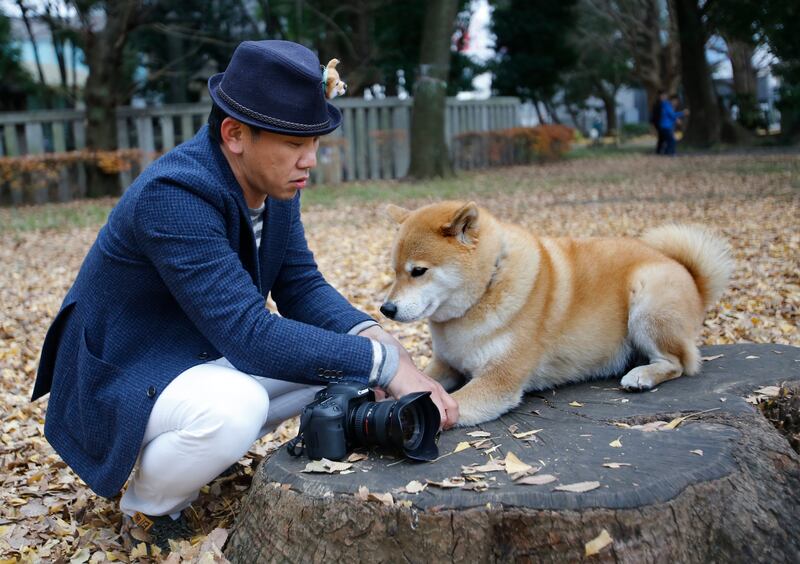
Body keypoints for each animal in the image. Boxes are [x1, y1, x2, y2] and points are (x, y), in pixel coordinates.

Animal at [380, 200, 732, 426]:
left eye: (418, 271)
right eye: (394, 271)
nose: (386, 308)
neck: (487, 288)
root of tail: (692, 278)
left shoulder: (499, 380)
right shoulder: (446, 364)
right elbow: (420, 376)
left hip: (647, 301)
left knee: (678, 363)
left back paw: (642, 376)